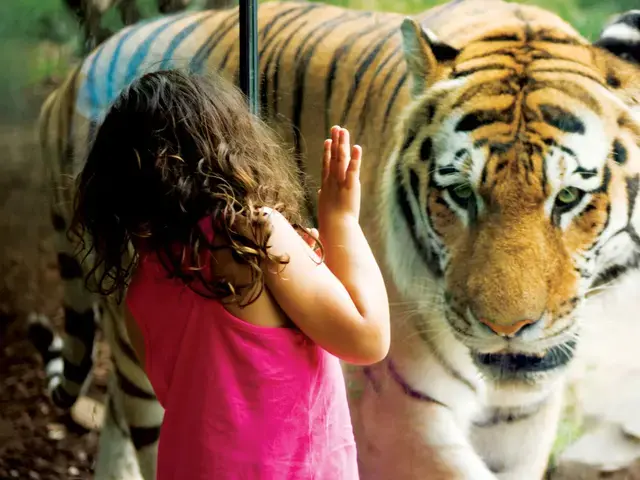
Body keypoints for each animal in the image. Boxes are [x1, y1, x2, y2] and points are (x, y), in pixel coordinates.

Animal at [30, 0, 640, 478]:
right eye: (462, 194)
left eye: (568, 197)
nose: (506, 330)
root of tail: (77, 71)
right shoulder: (396, 411)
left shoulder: (522, 419)